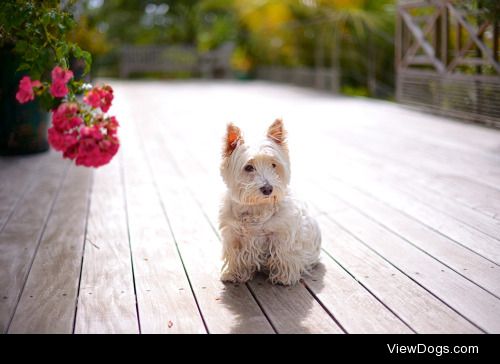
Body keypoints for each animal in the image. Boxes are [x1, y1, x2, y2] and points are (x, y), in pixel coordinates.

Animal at [218, 118, 320, 284]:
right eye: (248, 167)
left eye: (273, 165)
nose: (268, 189)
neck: (257, 206)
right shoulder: (234, 235)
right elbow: (235, 256)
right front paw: (233, 273)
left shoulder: (281, 235)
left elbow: (283, 254)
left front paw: (283, 276)